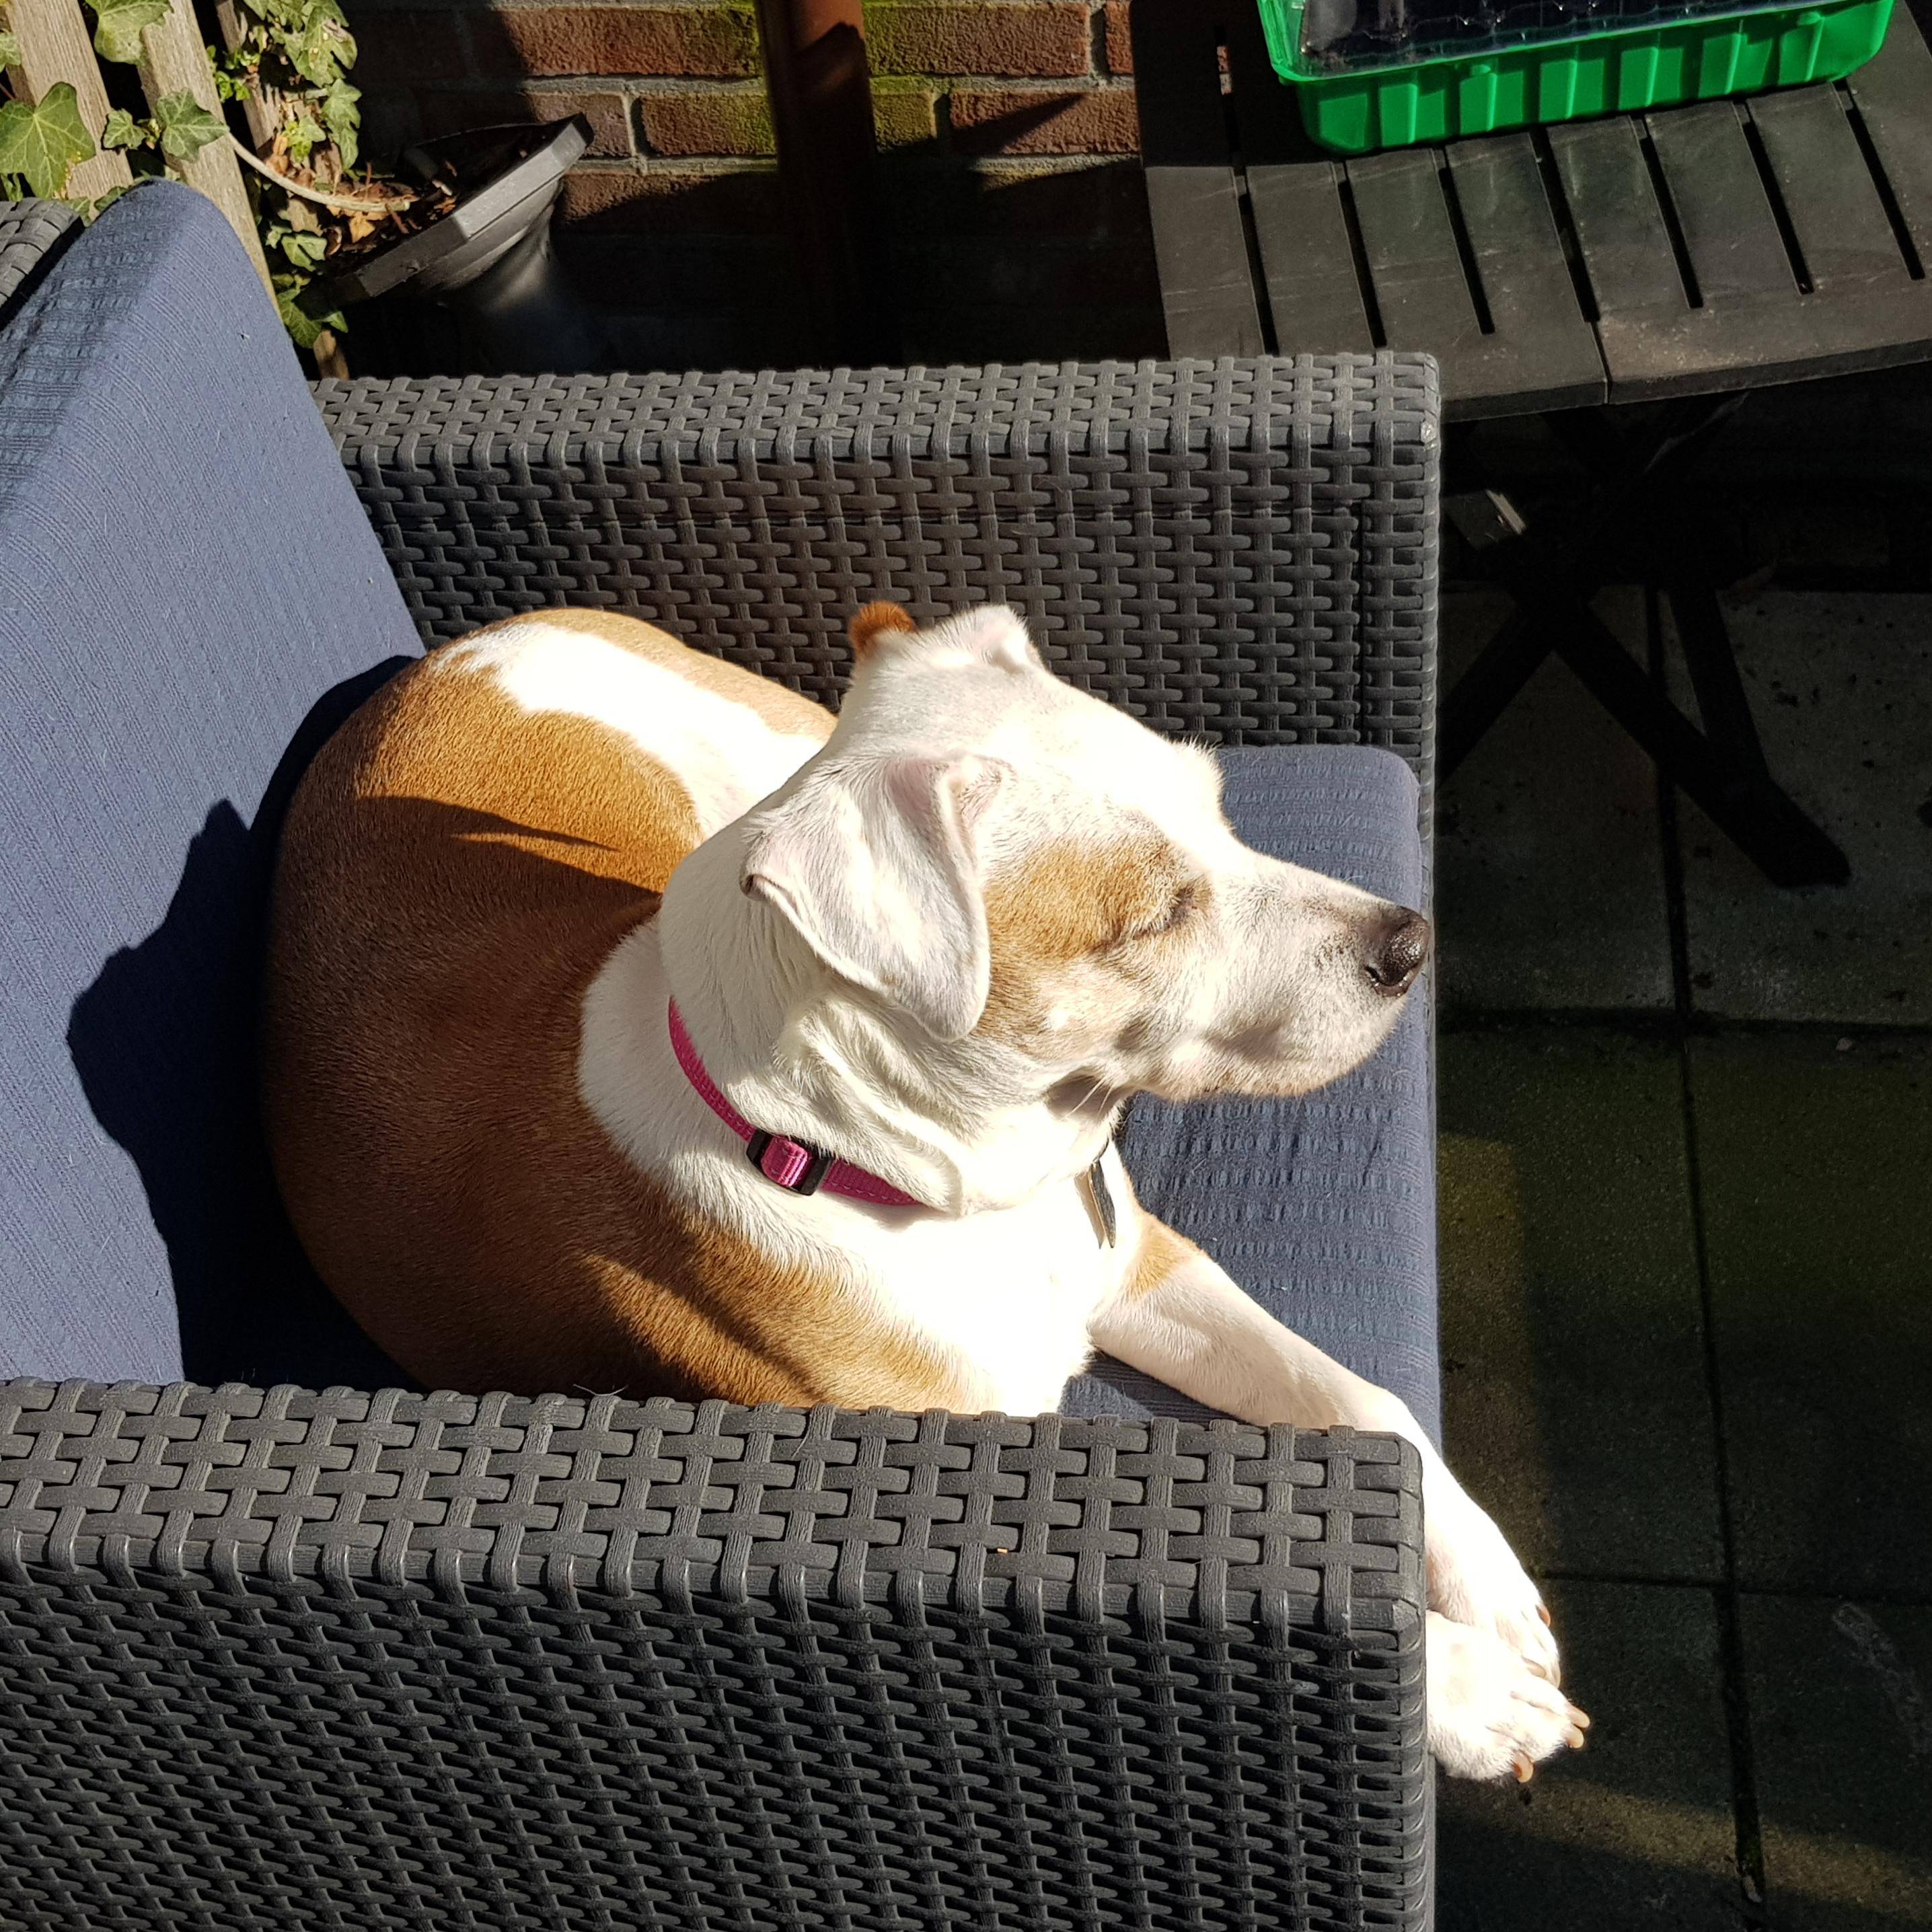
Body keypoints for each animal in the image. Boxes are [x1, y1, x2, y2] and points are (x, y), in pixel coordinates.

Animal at [263, 601, 1587, 1781]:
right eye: (1156, 915)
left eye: (1220, 809)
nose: (1408, 944)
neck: (904, 1174)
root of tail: (461, 646)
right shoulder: (941, 1489)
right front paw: (1467, 1692)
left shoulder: (1141, 1262)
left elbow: (1364, 1400)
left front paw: (1486, 1584)